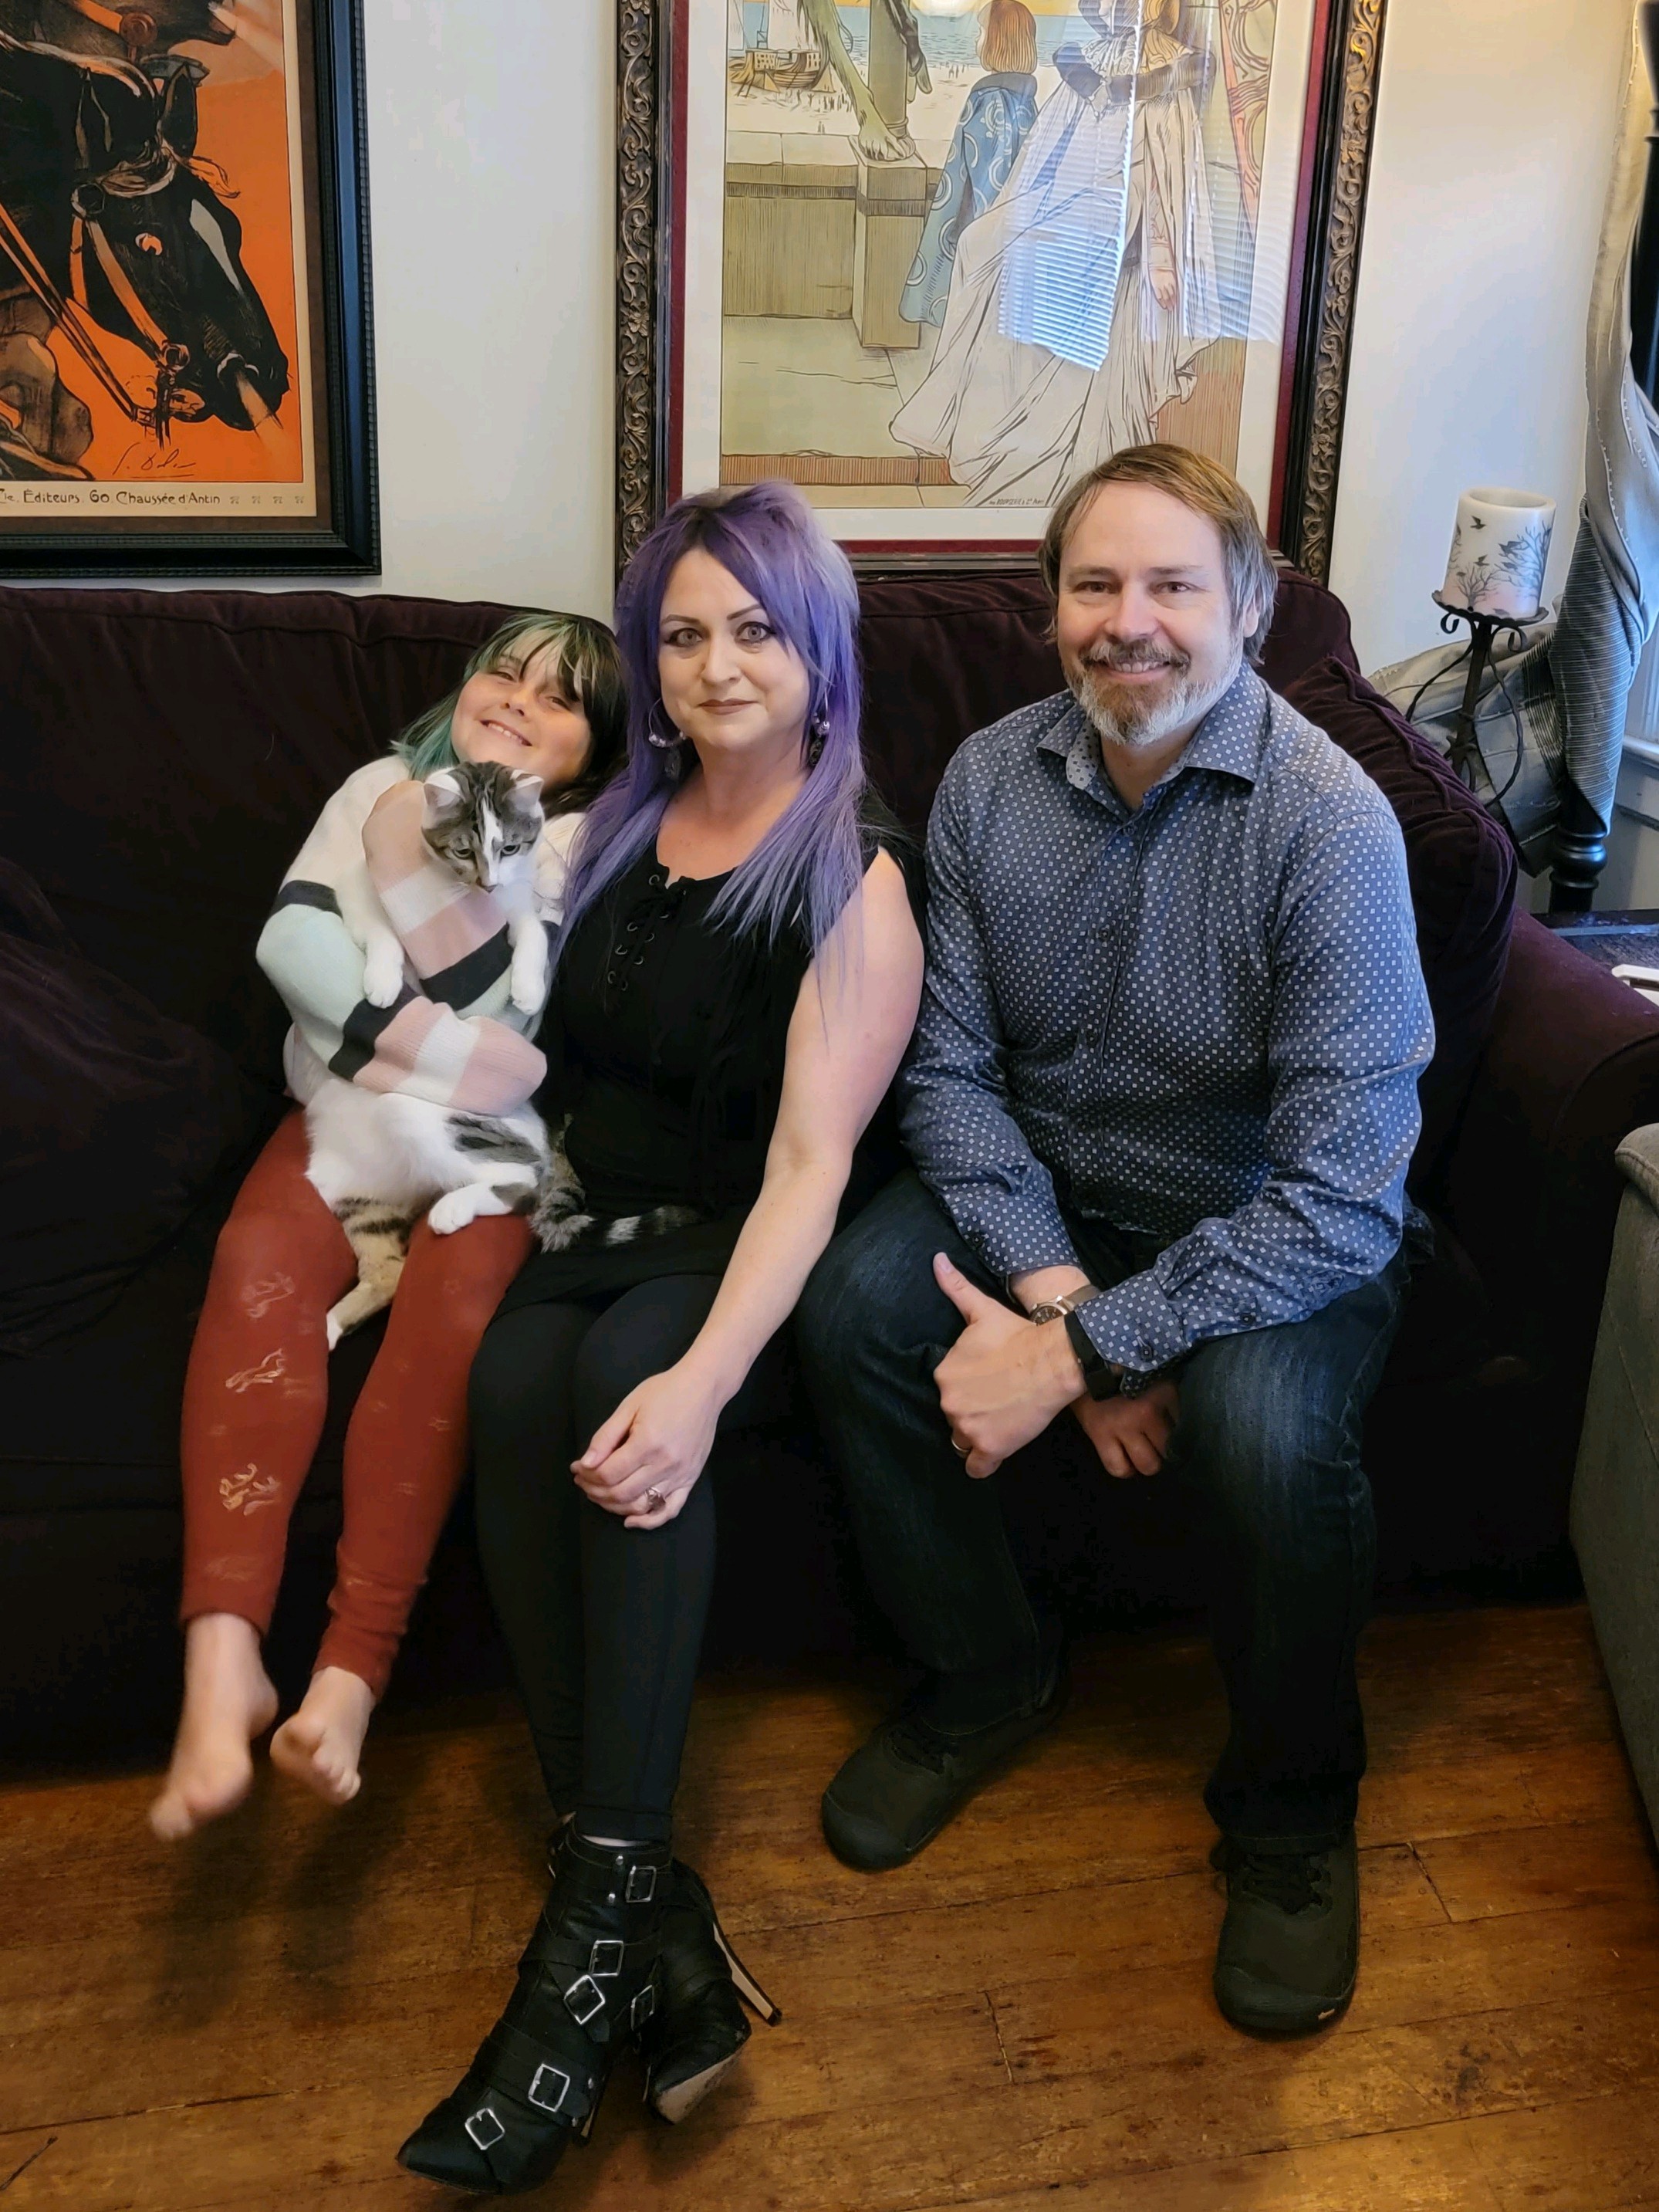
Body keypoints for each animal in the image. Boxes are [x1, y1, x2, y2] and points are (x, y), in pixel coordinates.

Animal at [312, 760, 566, 1344]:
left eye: (510, 848)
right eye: (463, 851)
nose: (488, 883)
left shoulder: (520, 904)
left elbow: (534, 933)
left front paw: (528, 988)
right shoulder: (359, 900)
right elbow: (382, 935)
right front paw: (384, 981)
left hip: (426, 1118)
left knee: (523, 1181)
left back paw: (453, 1209)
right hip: (350, 1193)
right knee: (386, 1274)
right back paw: (328, 1327)